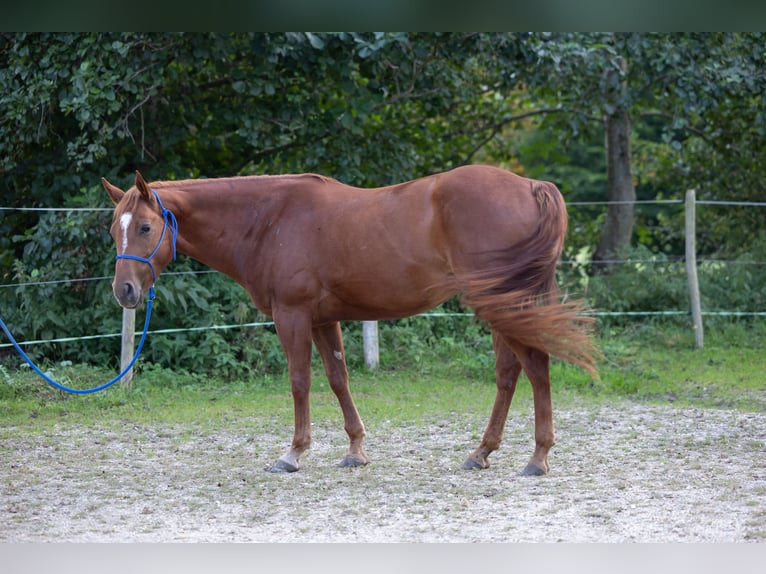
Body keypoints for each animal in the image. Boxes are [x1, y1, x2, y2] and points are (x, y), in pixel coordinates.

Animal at [103, 165, 600, 476]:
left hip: (504, 303)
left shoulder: (292, 316)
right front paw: (356, 450)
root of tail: (530, 185)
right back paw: (482, 453)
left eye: (145, 227)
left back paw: (537, 458)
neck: (269, 219)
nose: (124, 291)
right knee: (510, 372)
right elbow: (339, 379)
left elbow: (300, 381)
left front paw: (293, 454)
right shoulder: (324, 320)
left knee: (534, 366)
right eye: (114, 229)